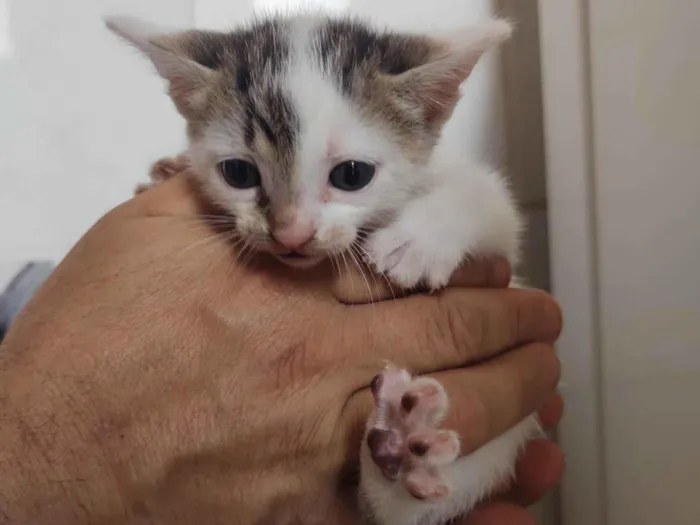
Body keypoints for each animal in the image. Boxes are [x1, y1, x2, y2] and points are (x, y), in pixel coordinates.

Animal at [106, 12, 540, 524]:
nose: (290, 234)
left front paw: (415, 242)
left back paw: (402, 451)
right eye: (238, 173)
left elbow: (487, 199)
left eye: (352, 175)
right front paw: (168, 169)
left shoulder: (495, 233)